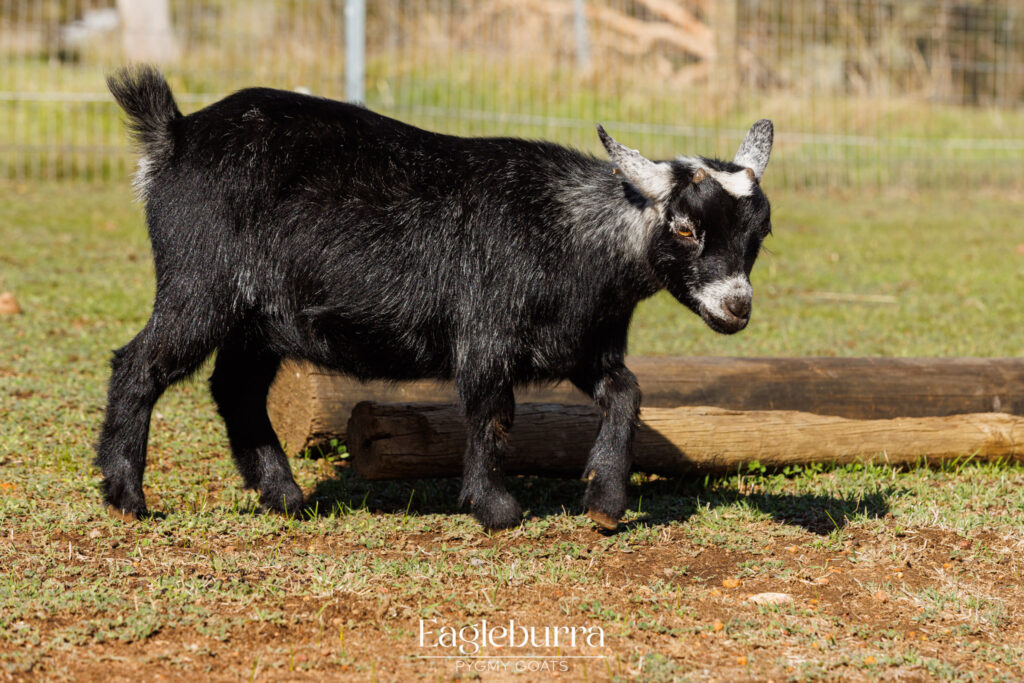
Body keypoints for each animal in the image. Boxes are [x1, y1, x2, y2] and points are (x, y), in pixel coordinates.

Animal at [98, 65, 774, 530]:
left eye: (760, 232)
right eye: (684, 227)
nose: (737, 307)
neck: (571, 234)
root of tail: (174, 136)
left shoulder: (581, 344)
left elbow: (627, 394)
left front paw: (605, 502)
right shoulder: (487, 335)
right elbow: (491, 410)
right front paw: (496, 508)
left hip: (259, 320)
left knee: (235, 388)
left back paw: (283, 495)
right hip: (200, 287)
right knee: (140, 364)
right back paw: (127, 496)